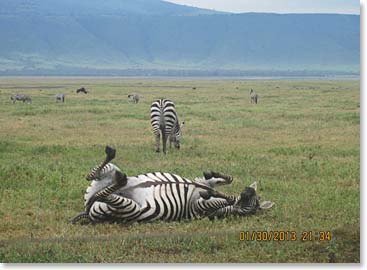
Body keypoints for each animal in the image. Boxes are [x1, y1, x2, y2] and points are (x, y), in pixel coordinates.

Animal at [71, 147, 274, 225]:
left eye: (252, 207)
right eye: (255, 196)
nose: (248, 191)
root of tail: (88, 211)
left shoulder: (199, 207)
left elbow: (225, 198)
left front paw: (222, 197)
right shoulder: (201, 183)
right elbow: (225, 179)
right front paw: (212, 174)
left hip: (128, 208)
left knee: (103, 195)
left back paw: (120, 179)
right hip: (103, 179)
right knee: (93, 177)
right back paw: (112, 157)